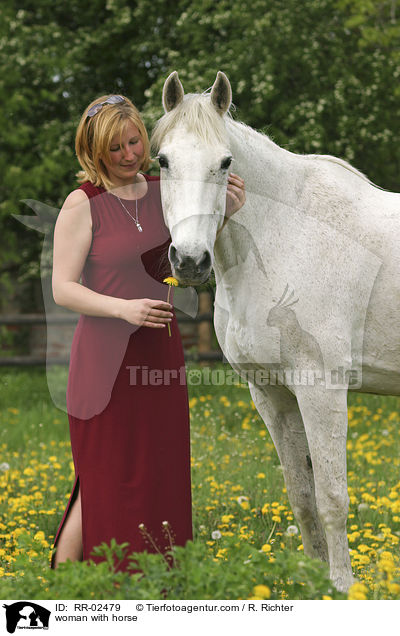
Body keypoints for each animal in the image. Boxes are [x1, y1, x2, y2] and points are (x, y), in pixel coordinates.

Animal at [151, 69, 400, 592]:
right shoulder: (272, 393)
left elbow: (332, 497)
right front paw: (312, 582)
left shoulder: (321, 388)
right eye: (162, 160)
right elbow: (302, 497)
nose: (190, 261)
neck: (288, 232)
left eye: (225, 162)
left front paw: (342, 588)